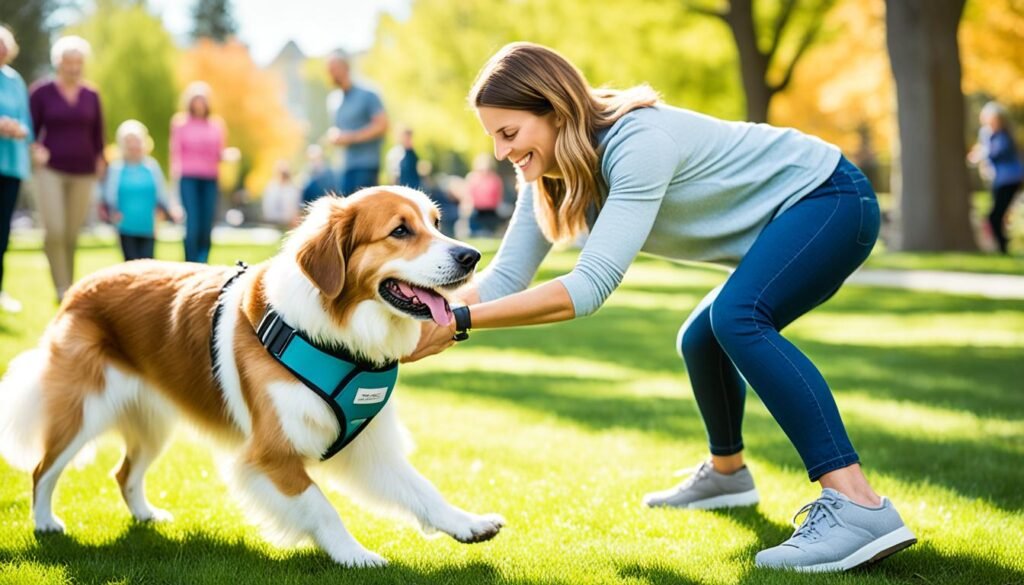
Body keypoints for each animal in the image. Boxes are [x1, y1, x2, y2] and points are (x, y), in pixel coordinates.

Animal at [0, 187, 503, 569]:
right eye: (400, 230)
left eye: (436, 223)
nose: (471, 255)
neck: (336, 333)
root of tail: (79, 287)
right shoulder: (270, 454)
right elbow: (322, 506)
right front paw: (355, 555)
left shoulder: (367, 445)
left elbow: (422, 490)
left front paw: (466, 523)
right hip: (83, 411)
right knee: (43, 469)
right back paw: (45, 523)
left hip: (153, 421)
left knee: (124, 472)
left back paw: (145, 515)